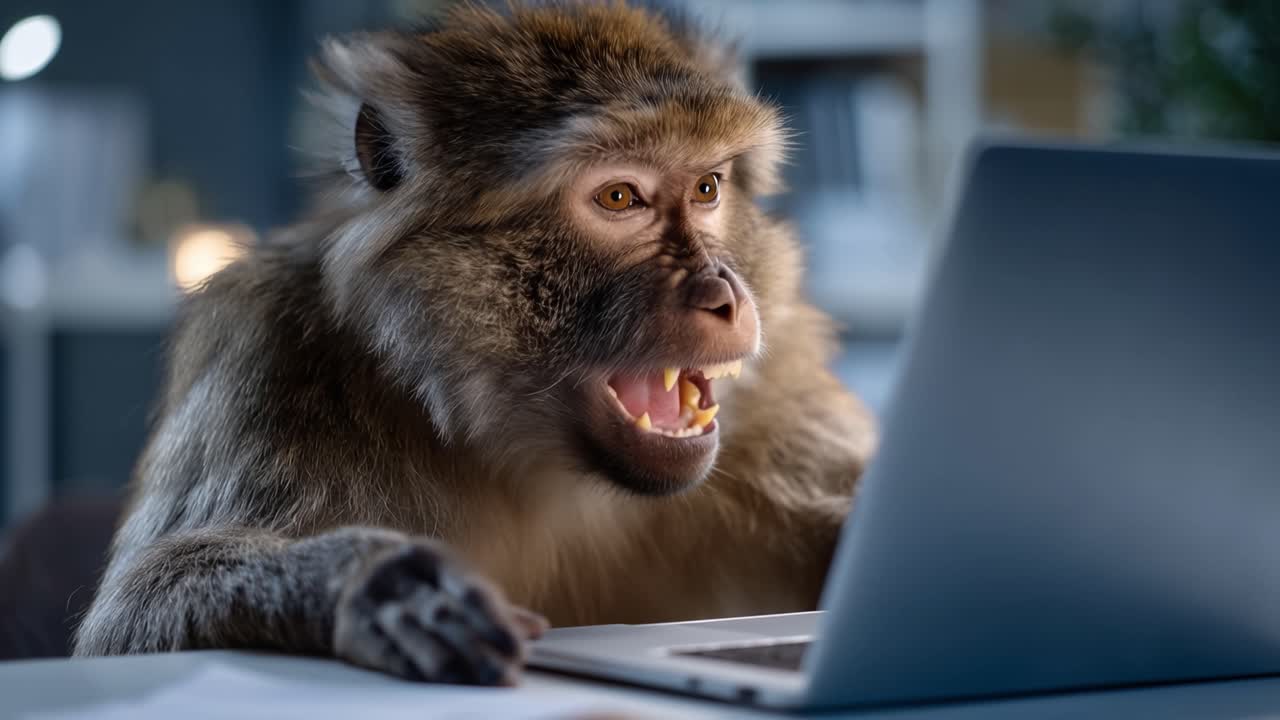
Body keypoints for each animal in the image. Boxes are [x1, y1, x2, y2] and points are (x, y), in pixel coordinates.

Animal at [73, 2, 876, 685]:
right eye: (620, 197)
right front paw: (381, 583)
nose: (724, 295)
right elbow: (134, 612)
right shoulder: (266, 356)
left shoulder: (779, 389)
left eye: (708, 187)